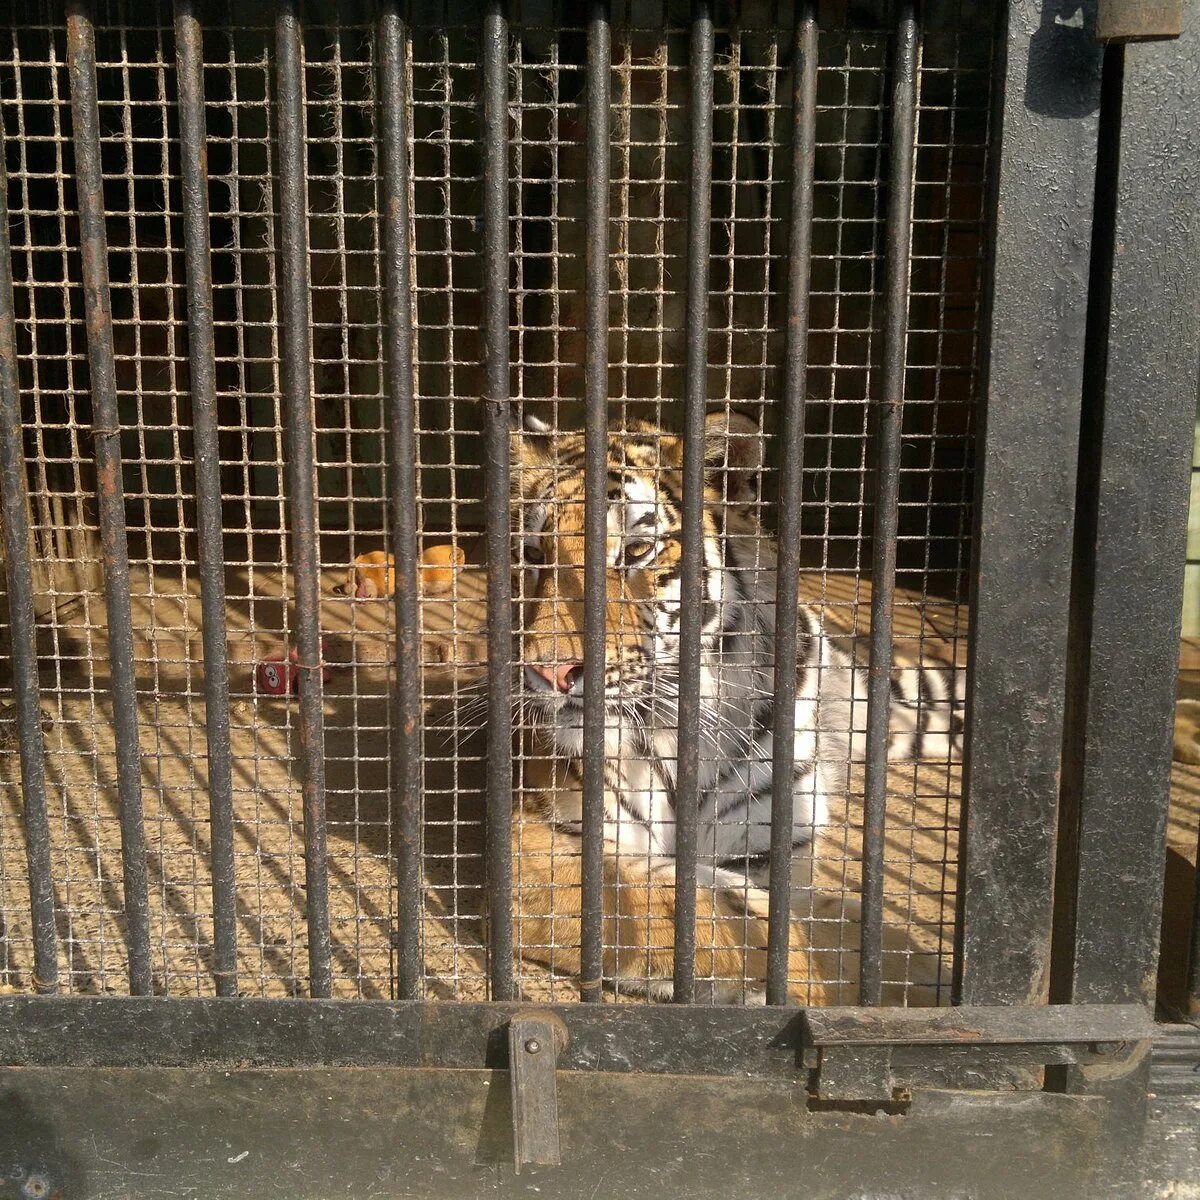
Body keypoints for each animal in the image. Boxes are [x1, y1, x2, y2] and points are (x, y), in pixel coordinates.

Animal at [506, 410, 964, 1003]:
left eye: (636, 552)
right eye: (534, 555)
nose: (551, 673)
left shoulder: (772, 848)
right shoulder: (539, 842)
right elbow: (702, 909)